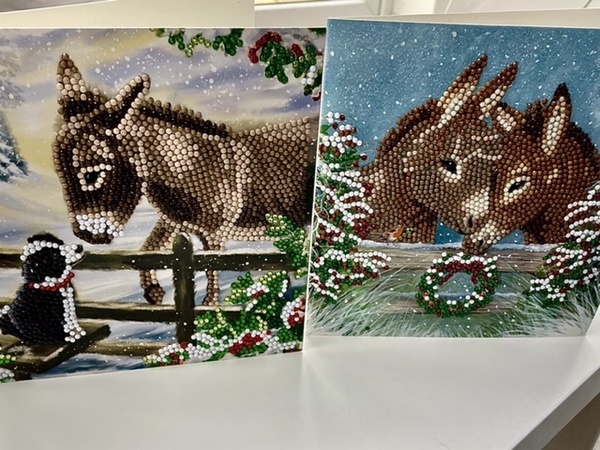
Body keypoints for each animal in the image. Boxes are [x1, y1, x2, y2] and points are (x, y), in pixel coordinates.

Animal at [53, 54, 316, 305]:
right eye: (59, 174)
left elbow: (211, 272)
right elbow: (148, 248)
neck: (188, 166)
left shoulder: (213, 233)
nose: (85, 236)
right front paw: (153, 291)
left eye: (92, 175)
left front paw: (209, 307)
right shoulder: (175, 220)